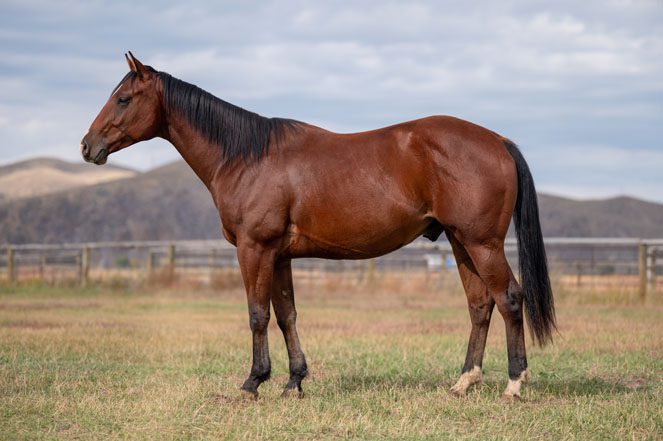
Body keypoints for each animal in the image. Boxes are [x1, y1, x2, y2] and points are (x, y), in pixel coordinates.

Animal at [81, 52, 555, 400]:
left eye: (123, 99)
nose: (88, 146)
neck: (248, 157)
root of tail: (498, 141)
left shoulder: (254, 249)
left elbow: (257, 315)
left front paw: (253, 383)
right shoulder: (279, 255)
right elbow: (286, 315)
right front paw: (294, 382)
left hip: (482, 243)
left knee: (509, 299)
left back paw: (514, 385)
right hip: (461, 244)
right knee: (480, 305)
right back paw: (463, 382)